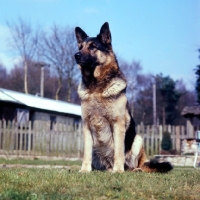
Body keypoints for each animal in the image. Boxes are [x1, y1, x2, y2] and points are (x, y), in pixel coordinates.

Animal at [74, 21, 173, 172]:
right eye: (81, 47)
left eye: (93, 47)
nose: (76, 55)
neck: (96, 87)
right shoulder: (87, 125)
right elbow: (86, 153)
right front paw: (85, 170)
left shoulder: (117, 124)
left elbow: (118, 151)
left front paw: (118, 170)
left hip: (138, 140)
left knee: (137, 165)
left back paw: (133, 169)